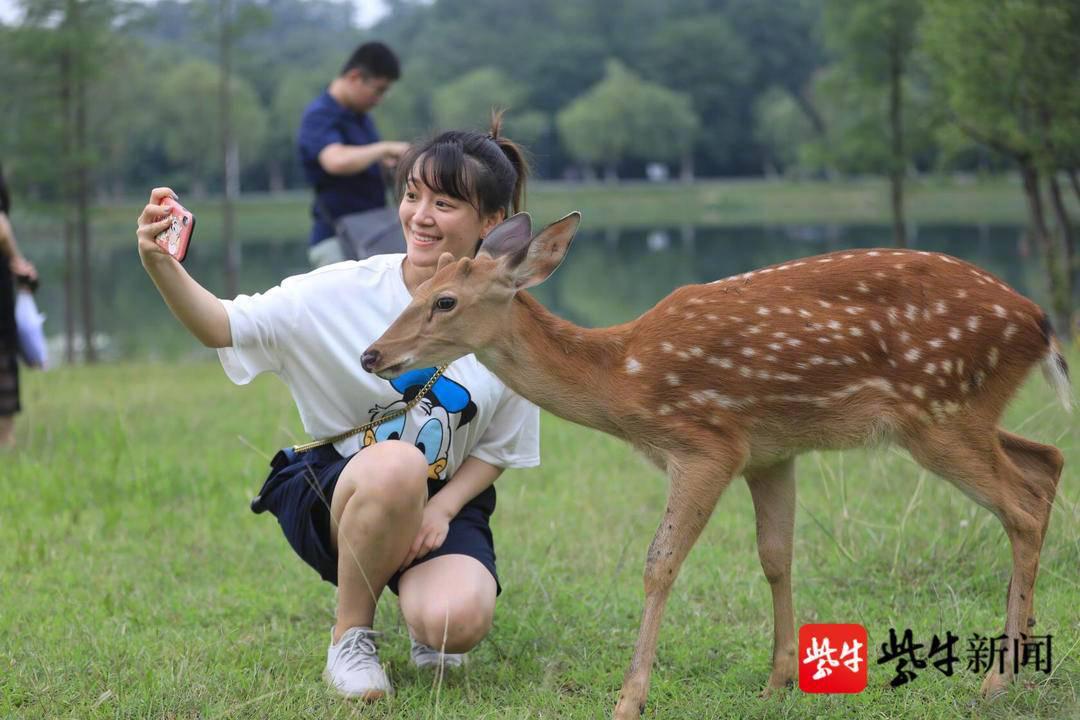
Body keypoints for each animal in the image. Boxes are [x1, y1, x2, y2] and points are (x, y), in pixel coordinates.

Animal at [362, 211, 1071, 716]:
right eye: (419, 287)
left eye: (446, 300)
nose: (373, 354)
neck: (624, 379)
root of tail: (1041, 323)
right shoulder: (770, 451)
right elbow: (776, 556)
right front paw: (778, 681)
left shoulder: (708, 443)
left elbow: (659, 563)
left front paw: (629, 698)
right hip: (965, 414)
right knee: (1048, 459)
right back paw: (1025, 651)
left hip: (940, 409)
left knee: (1021, 505)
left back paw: (997, 681)